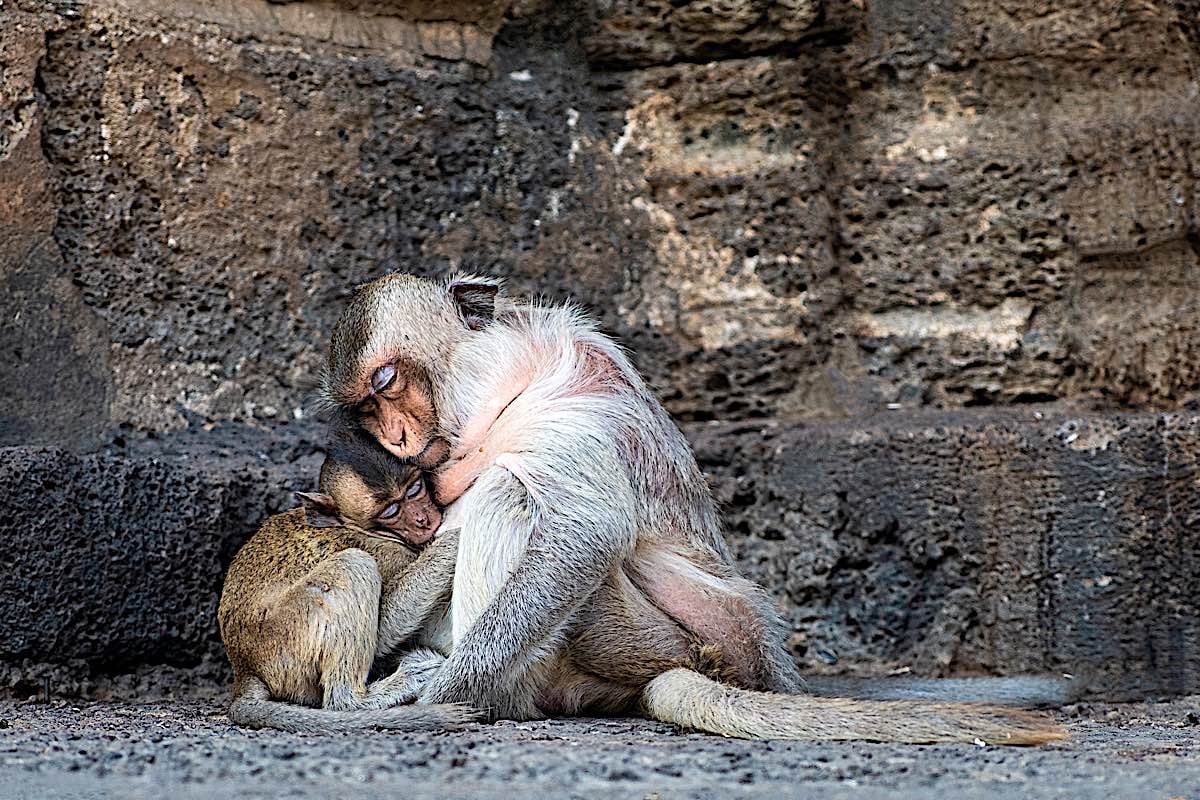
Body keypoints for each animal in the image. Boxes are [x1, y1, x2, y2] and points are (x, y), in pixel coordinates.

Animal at [218, 429, 465, 734]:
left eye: (414, 488)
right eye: (390, 511)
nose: (422, 519)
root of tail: (245, 666)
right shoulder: (387, 554)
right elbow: (384, 633)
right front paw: (455, 537)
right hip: (283, 634)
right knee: (353, 565)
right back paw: (356, 698)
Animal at [316, 275, 1060, 743]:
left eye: (388, 381)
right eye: (365, 407)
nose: (395, 436)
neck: (507, 386)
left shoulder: (574, 405)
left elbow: (586, 533)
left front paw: (444, 690)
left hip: (632, 643)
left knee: (508, 493)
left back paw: (498, 698)